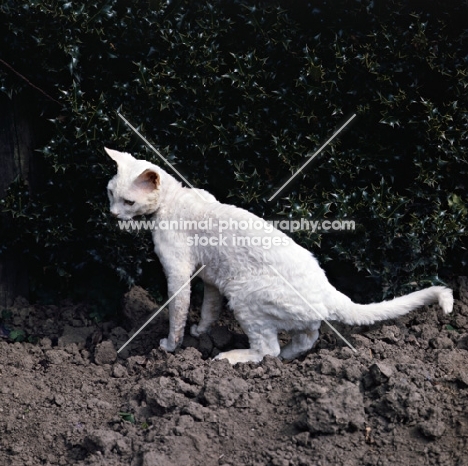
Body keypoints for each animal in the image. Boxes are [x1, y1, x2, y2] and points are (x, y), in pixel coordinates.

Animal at [106, 147, 454, 364]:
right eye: (110, 193)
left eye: (128, 202)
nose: (112, 214)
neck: (175, 198)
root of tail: (328, 290)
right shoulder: (211, 277)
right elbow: (208, 308)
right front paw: (201, 332)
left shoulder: (178, 272)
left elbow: (177, 313)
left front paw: (169, 347)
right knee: (308, 336)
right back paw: (288, 358)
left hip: (245, 295)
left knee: (267, 350)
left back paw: (231, 358)